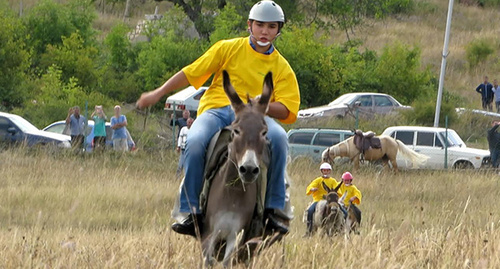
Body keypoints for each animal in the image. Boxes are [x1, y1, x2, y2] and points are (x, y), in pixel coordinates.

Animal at [201, 70, 276, 266]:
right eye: (236, 130)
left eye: (264, 132)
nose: (248, 169)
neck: (232, 192)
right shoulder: (209, 235)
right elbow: (207, 262)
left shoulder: (235, 236)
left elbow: (227, 263)